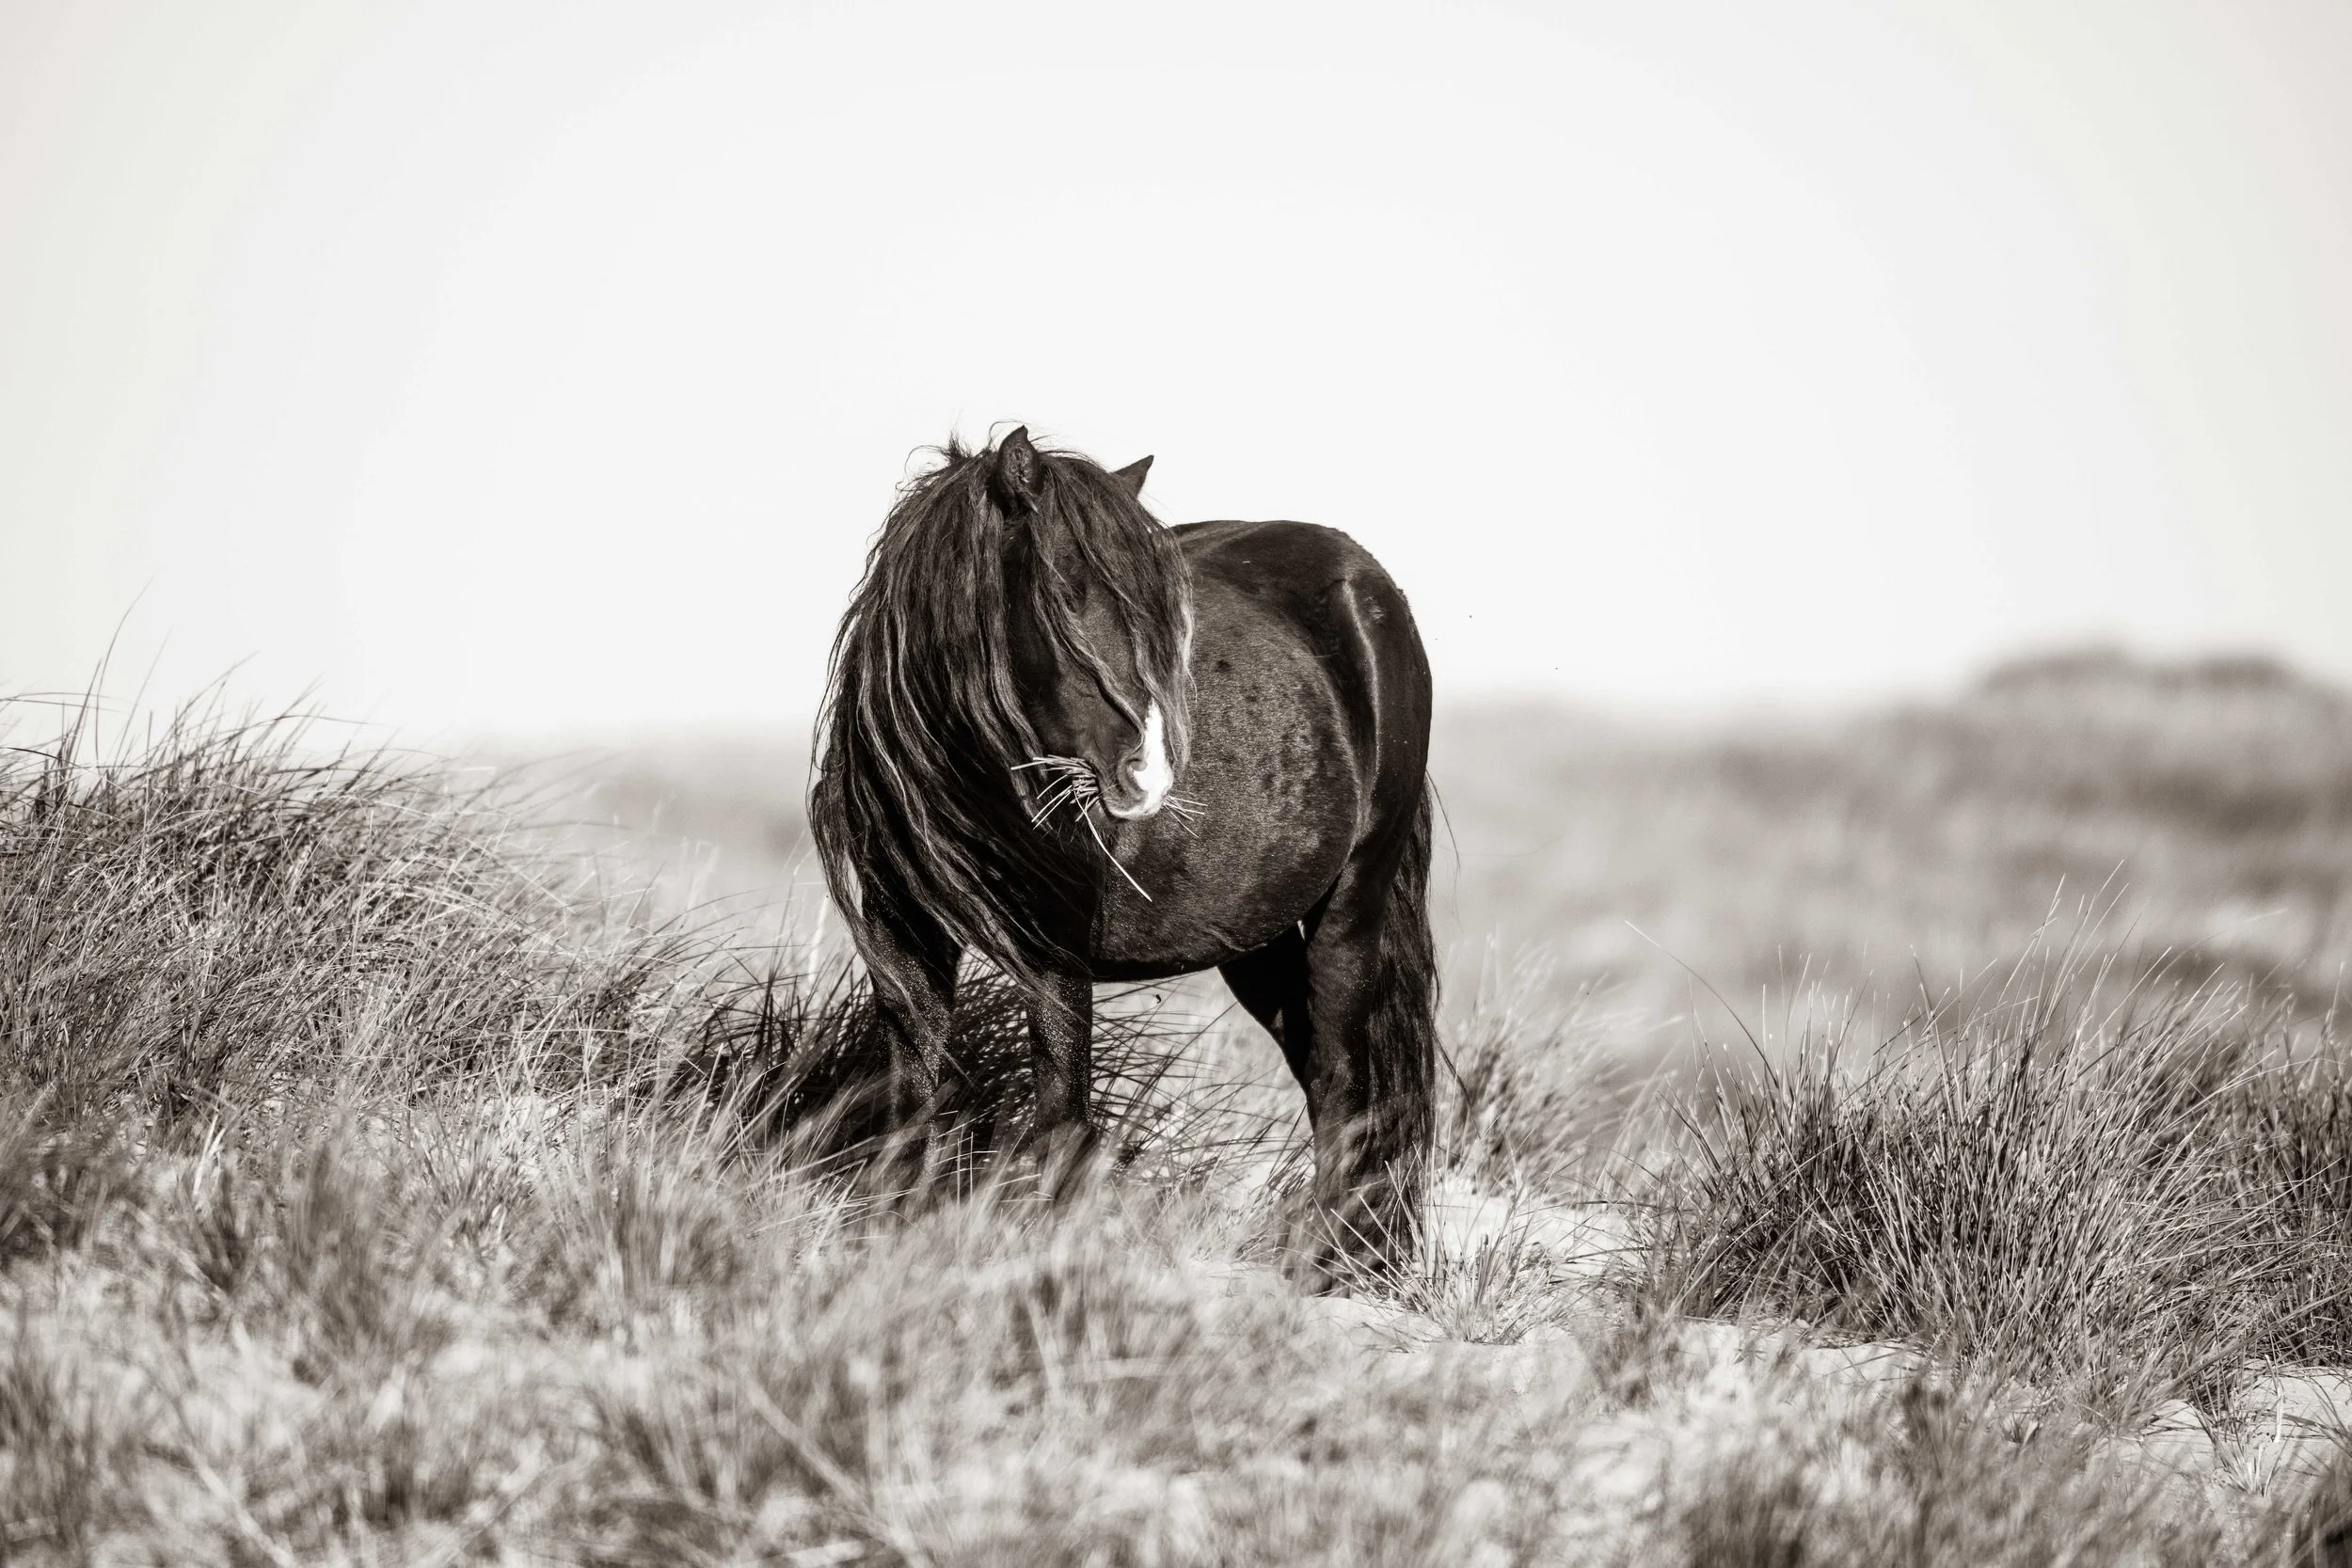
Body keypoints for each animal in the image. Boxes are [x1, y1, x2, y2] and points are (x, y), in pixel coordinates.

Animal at [809, 426, 1436, 1277]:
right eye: (1061, 592)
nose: (1150, 771)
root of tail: (1370, 589)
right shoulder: (901, 938)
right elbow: (911, 1105)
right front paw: (886, 1240)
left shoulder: (1055, 955)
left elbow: (1063, 1124)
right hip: (1263, 944)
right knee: (1322, 1074)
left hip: (1351, 909)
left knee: (1345, 1084)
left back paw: (1327, 1263)